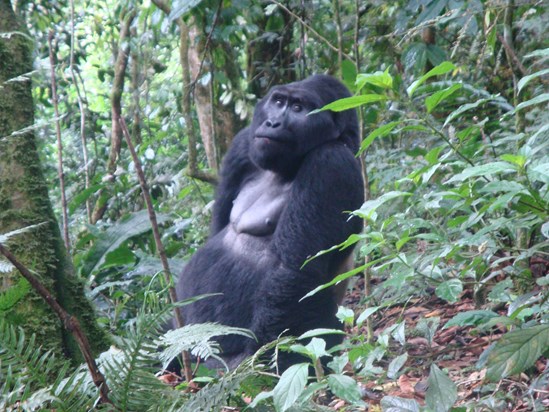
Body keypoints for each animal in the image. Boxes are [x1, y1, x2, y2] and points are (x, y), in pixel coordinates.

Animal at [176, 74, 364, 370]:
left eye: (298, 108)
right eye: (277, 102)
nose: (273, 123)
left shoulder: (330, 163)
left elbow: (294, 272)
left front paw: (261, 364)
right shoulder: (243, 145)